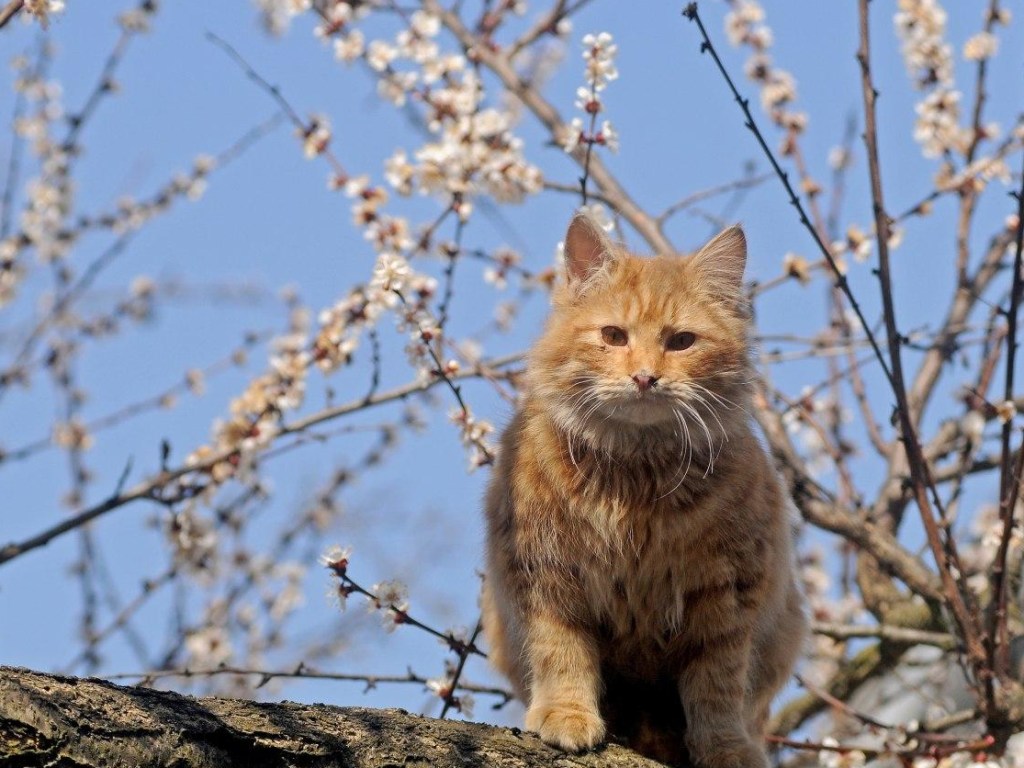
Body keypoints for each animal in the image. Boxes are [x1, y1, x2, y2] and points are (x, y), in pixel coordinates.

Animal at [479, 211, 806, 768]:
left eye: (681, 342)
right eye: (613, 335)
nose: (645, 377)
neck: (635, 478)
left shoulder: (729, 595)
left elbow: (717, 688)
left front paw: (724, 747)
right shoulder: (545, 578)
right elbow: (561, 656)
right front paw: (568, 715)